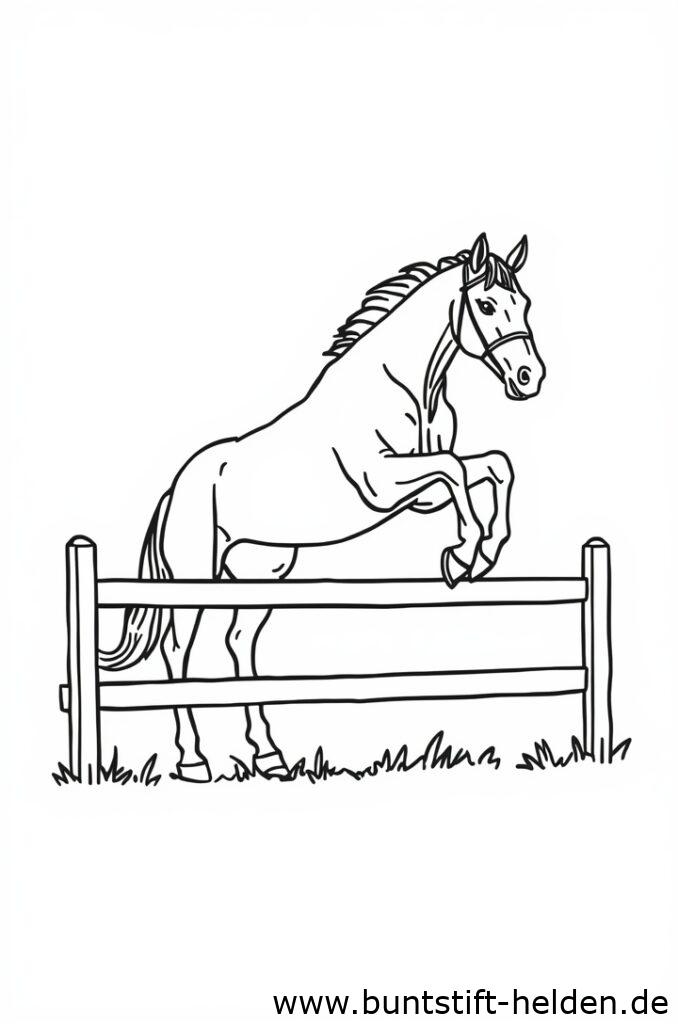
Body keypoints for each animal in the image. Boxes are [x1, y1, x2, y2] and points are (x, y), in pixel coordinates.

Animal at [100, 232, 545, 781]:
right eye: (485, 305)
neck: (407, 389)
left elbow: (494, 467)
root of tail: (174, 491)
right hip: (194, 578)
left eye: (523, 304)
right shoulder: (383, 485)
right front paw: (462, 557)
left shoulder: (420, 495)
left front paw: (482, 554)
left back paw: (268, 756)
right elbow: (458, 472)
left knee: (239, 642)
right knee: (178, 650)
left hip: (259, 573)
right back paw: (193, 760)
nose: (529, 377)